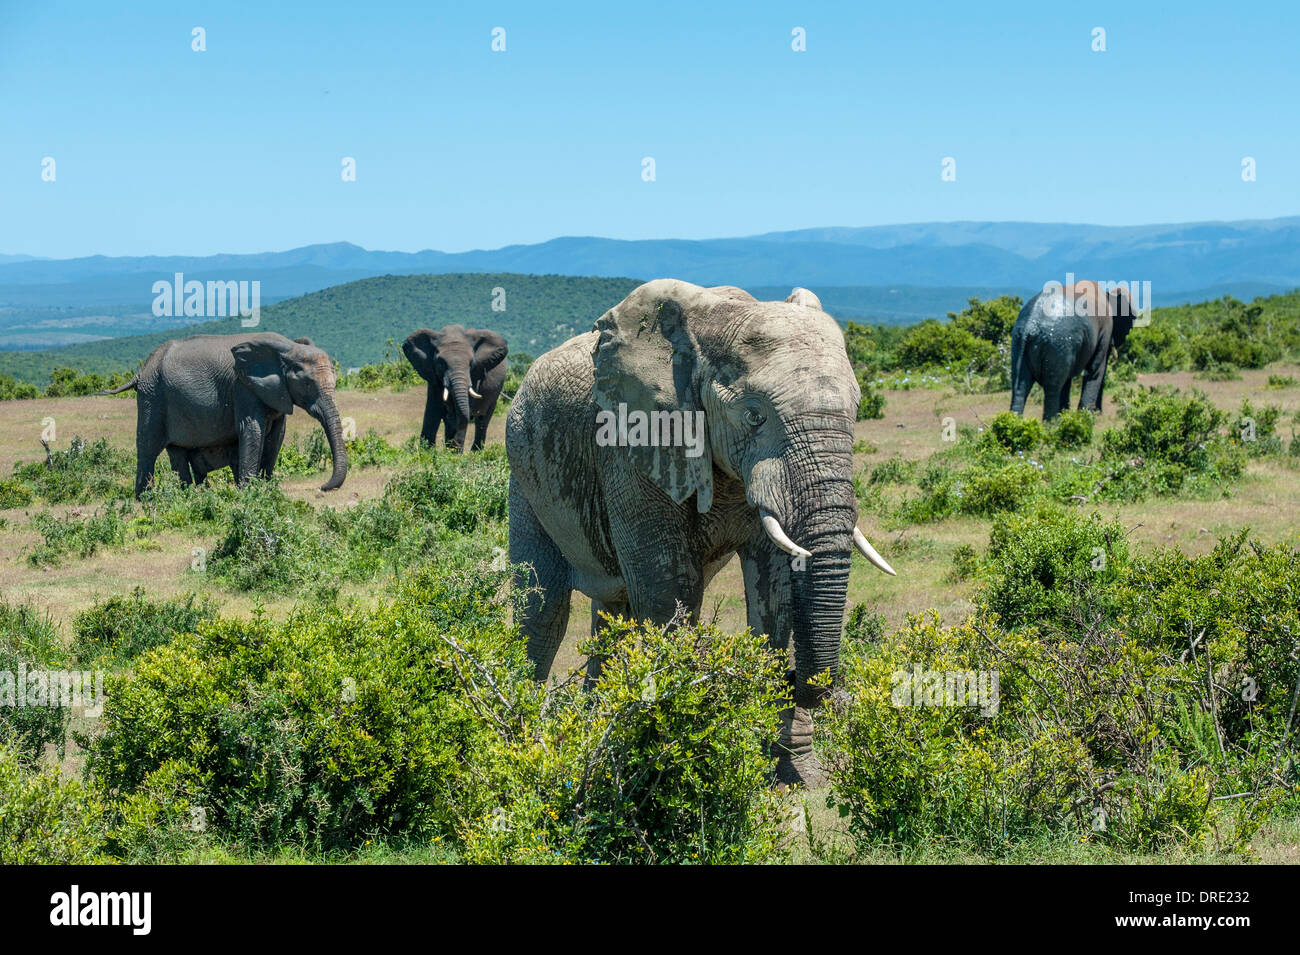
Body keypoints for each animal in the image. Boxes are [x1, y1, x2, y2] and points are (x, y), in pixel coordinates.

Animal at [106, 330, 348, 496]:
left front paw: (267, 489)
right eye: (307, 384)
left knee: (177, 452)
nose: (323, 486)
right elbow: (252, 429)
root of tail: (140, 371)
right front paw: (249, 493)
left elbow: (277, 435)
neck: (287, 348)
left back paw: (188, 496)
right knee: (148, 448)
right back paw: (146, 499)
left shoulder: (276, 393)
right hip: (152, 396)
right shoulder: (242, 387)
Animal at [403, 324, 509, 452]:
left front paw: (453, 454)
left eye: (471, 363)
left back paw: (475, 452)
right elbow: (432, 411)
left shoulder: (475, 375)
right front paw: (427, 452)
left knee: (483, 420)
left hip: (496, 393)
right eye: (441, 363)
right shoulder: (433, 376)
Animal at [504, 280, 894, 789]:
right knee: (543, 609)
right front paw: (676, 754)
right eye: (753, 416)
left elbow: (774, 592)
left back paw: (592, 726)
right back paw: (522, 743)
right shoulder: (631, 447)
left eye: (858, 409)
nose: (793, 680)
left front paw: (788, 771)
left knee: (611, 612)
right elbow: (670, 592)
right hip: (523, 472)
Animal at [1003, 280, 1138, 420]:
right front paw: (1087, 417)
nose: (1099, 412)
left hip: (1020, 342)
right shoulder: (1105, 330)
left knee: (1020, 386)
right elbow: (1095, 369)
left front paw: (1068, 415)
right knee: (1053, 387)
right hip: (1057, 342)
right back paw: (1052, 424)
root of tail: (1030, 325)